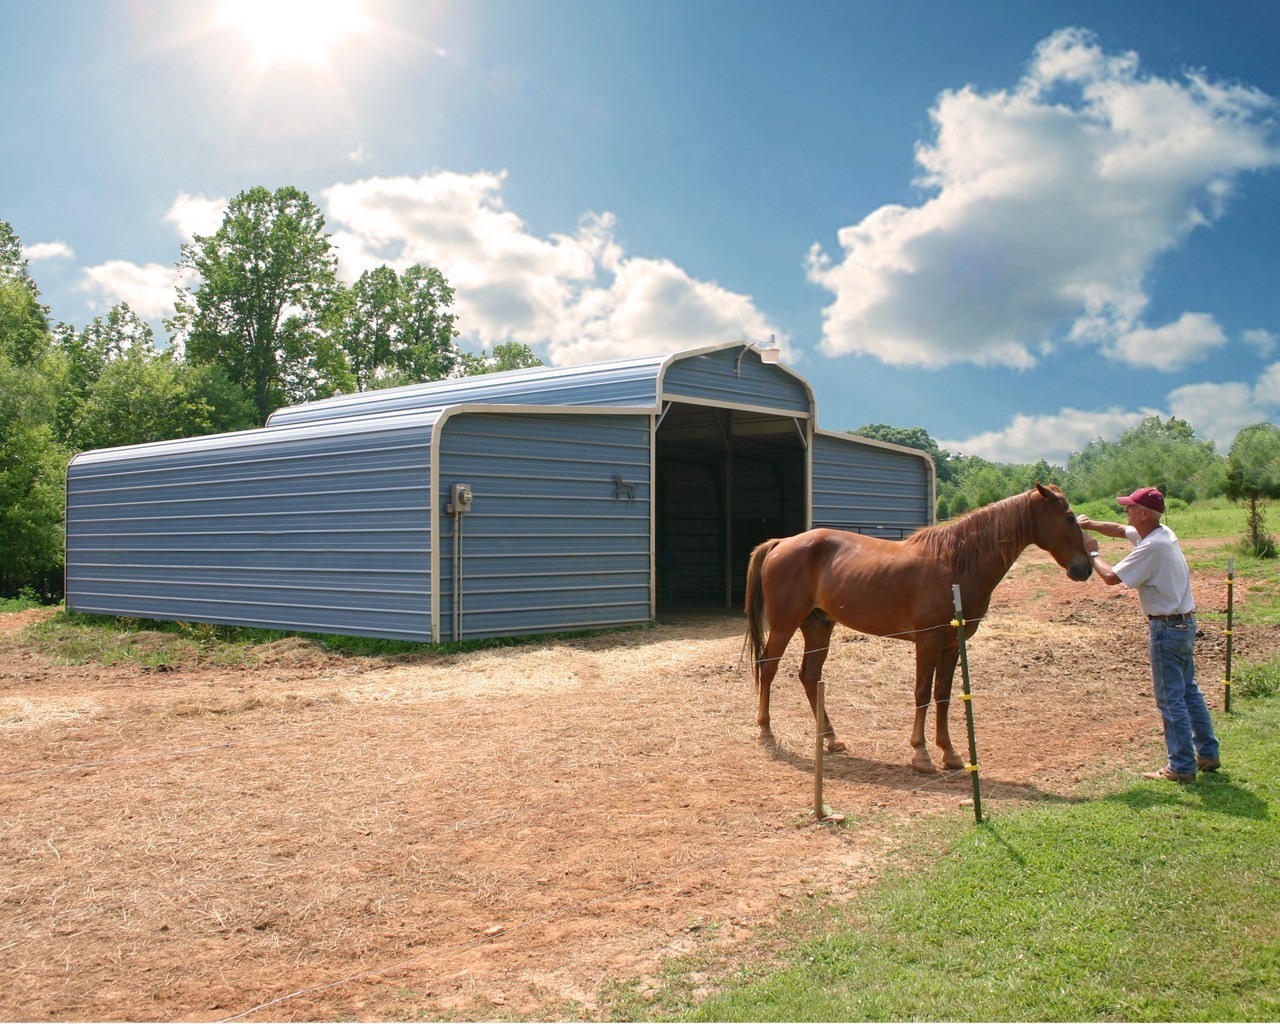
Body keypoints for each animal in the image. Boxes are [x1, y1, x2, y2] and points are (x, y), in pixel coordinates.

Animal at [742, 483, 1090, 773]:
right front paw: (920, 754)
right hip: (785, 625)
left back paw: (830, 739)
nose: (1084, 568)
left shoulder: (952, 645)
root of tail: (781, 543)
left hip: (818, 627)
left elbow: (943, 695)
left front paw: (950, 754)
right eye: (1070, 517)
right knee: (768, 668)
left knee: (810, 676)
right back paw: (766, 733)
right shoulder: (928, 641)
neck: (956, 562)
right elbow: (922, 692)